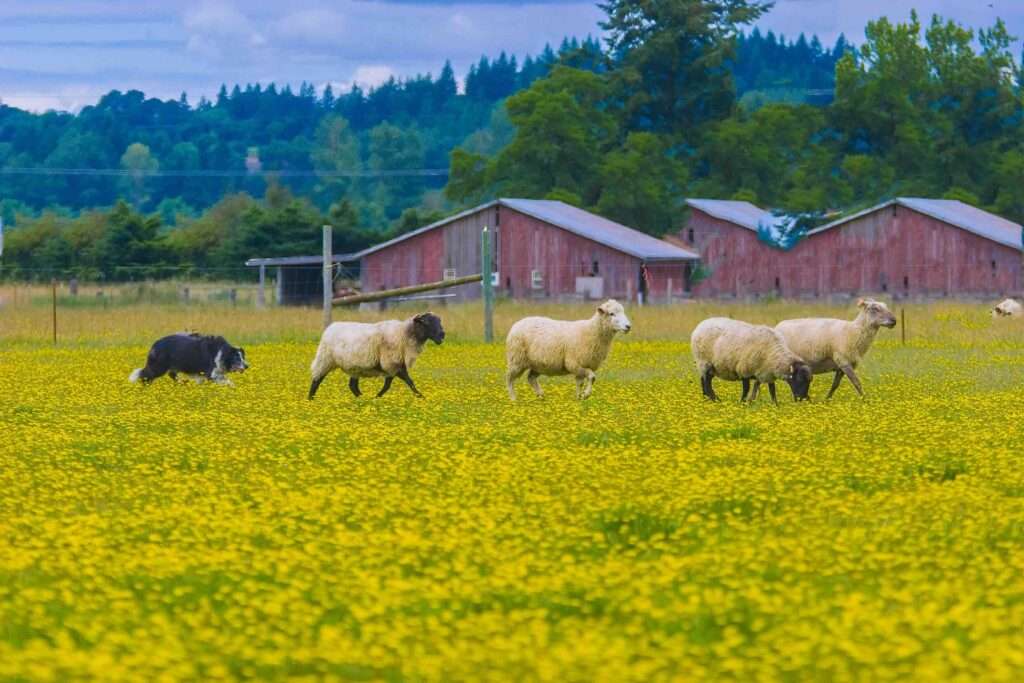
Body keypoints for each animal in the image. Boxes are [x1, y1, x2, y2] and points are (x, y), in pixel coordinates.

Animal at [308, 312, 445, 400]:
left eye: (439, 321)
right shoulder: (392, 363)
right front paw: (421, 397)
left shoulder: (394, 365)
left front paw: (376, 398)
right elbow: (409, 381)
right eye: (427, 322)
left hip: (355, 367)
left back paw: (361, 398)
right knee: (316, 380)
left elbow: (388, 385)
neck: (405, 334)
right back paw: (310, 399)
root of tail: (331, 327)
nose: (442, 335)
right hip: (325, 359)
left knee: (353, 386)